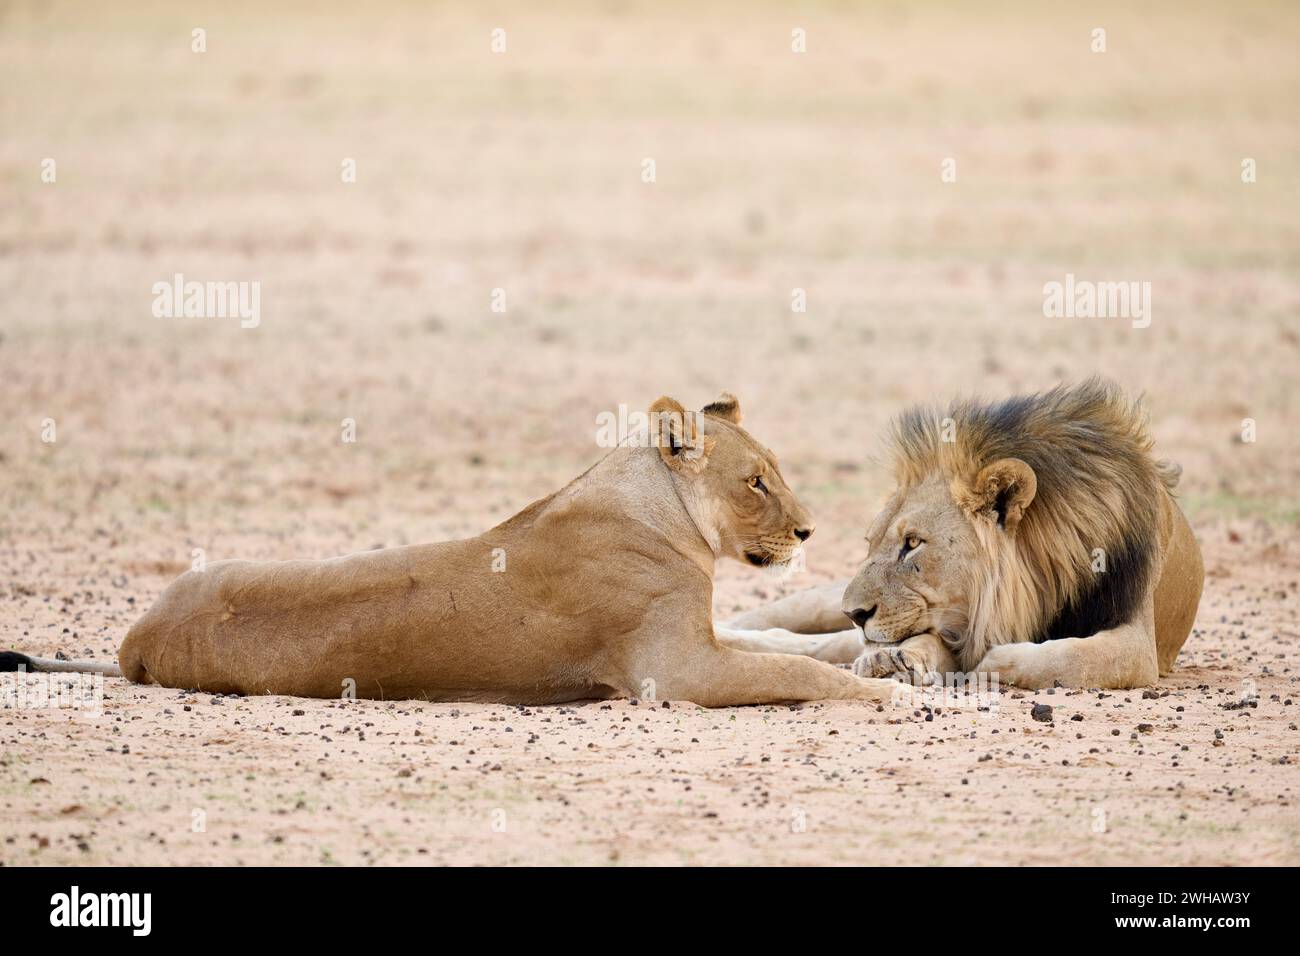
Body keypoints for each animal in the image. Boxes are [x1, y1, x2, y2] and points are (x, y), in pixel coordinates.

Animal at [1, 393, 897, 707]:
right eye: (756, 482)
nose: (810, 531)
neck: (662, 512)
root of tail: (134, 643)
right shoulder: (674, 672)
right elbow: (793, 673)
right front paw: (886, 693)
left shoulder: (703, 641)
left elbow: (781, 643)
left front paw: (871, 658)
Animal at [724, 379, 1204, 689]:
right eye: (871, 543)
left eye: (912, 544)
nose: (855, 613)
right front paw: (893, 660)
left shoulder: (1137, 642)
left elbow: (1073, 657)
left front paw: (995, 660)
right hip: (822, 602)